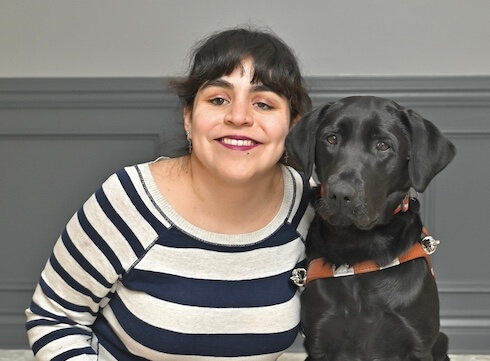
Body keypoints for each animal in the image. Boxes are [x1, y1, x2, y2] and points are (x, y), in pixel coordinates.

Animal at [288, 96, 456, 360]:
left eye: (383, 145)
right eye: (331, 138)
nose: (340, 194)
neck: (359, 247)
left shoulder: (417, 345)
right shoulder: (319, 344)